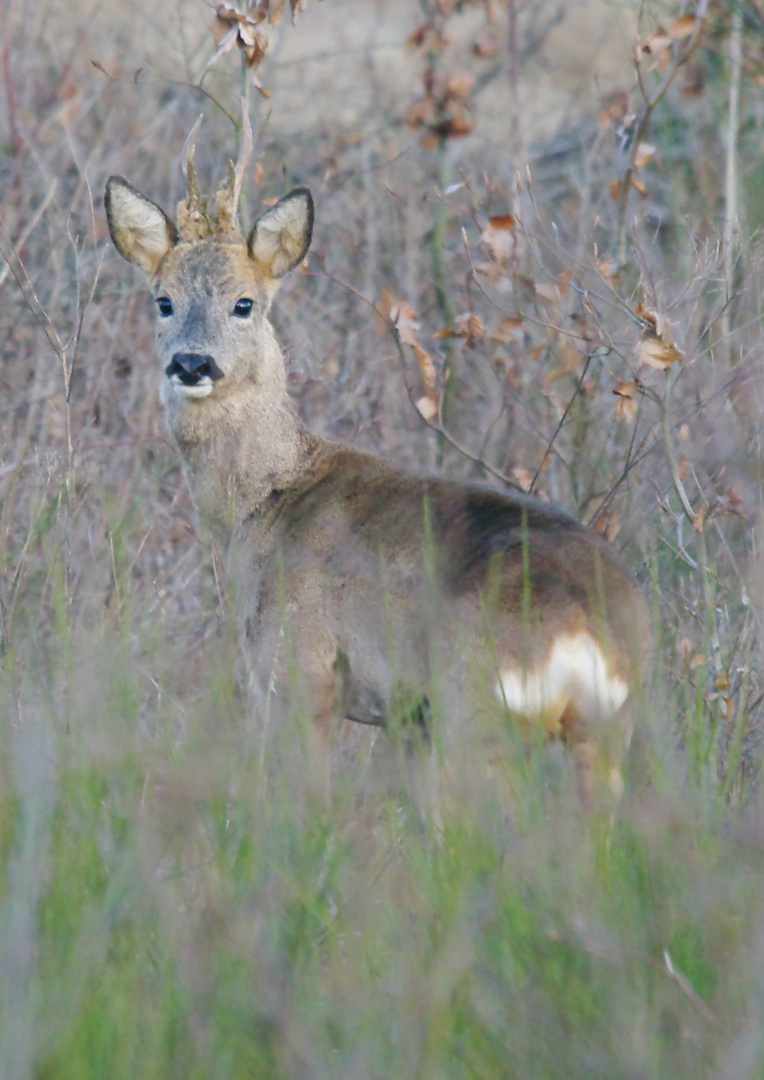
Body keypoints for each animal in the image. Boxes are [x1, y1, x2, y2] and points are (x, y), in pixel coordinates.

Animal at [103, 147, 652, 799]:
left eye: (244, 303)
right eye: (162, 300)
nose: (191, 363)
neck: (263, 502)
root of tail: (585, 630)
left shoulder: (296, 667)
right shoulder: (403, 715)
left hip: (473, 706)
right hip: (604, 731)